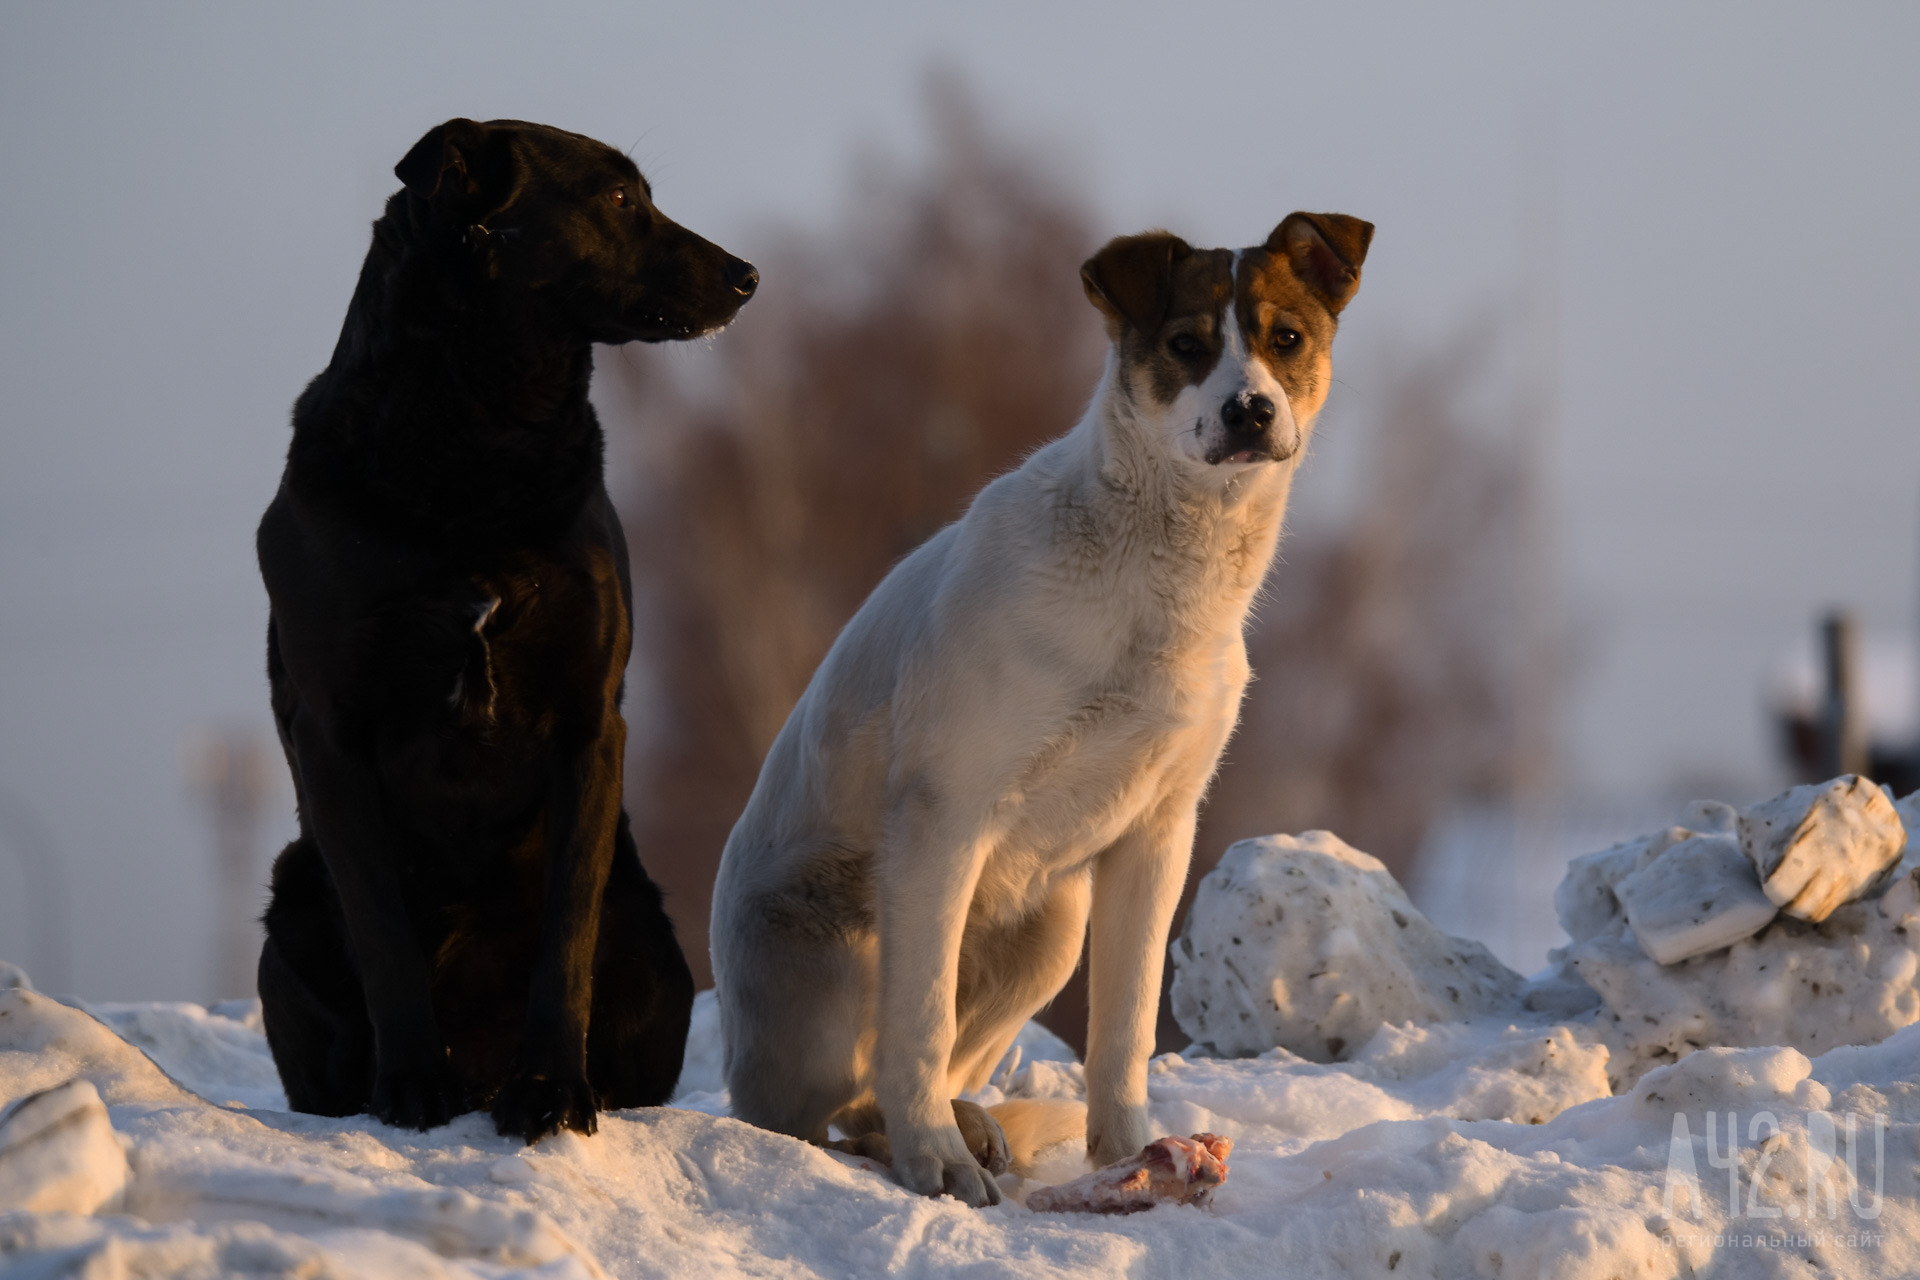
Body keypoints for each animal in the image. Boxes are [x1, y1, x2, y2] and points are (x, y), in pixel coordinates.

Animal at [253, 117, 756, 1143]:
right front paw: (413, 1087)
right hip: (293, 908)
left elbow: (565, 930)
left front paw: (553, 1092)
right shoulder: (330, 731)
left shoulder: (588, 722)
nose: (747, 275)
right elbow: (383, 932)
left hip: (651, 938)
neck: (479, 440)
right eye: (617, 198)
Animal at [714, 214, 1374, 1205]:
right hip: (836, 966)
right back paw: (926, 1140)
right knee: (838, 1101)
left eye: (1285, 339)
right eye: (1187, 345)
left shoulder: (1159, 832)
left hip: (1051, 932)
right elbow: (917, 1026)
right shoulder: (944, 817)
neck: (1152, 578)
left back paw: (976, 1125)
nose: (1249, 411)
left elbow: (1123, 1031)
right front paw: (935, 1166)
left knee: (885, 1092)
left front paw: (1131, 1155)